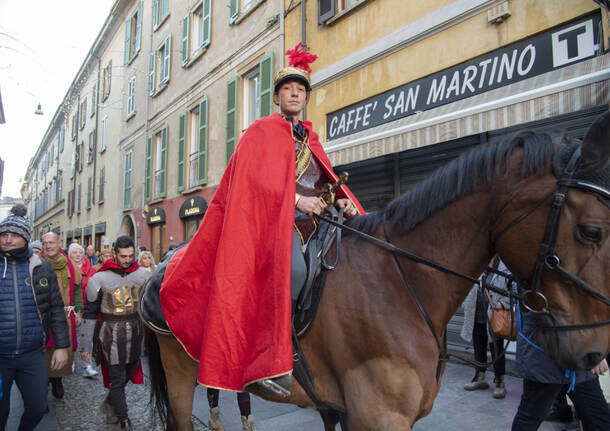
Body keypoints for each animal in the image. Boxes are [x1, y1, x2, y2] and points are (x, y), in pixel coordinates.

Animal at [141, 112, 608, 431]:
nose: (594, 354)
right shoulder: (379, 416)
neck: (403, 282)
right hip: (180, 373)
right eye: (592, 230)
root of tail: (162, 266)